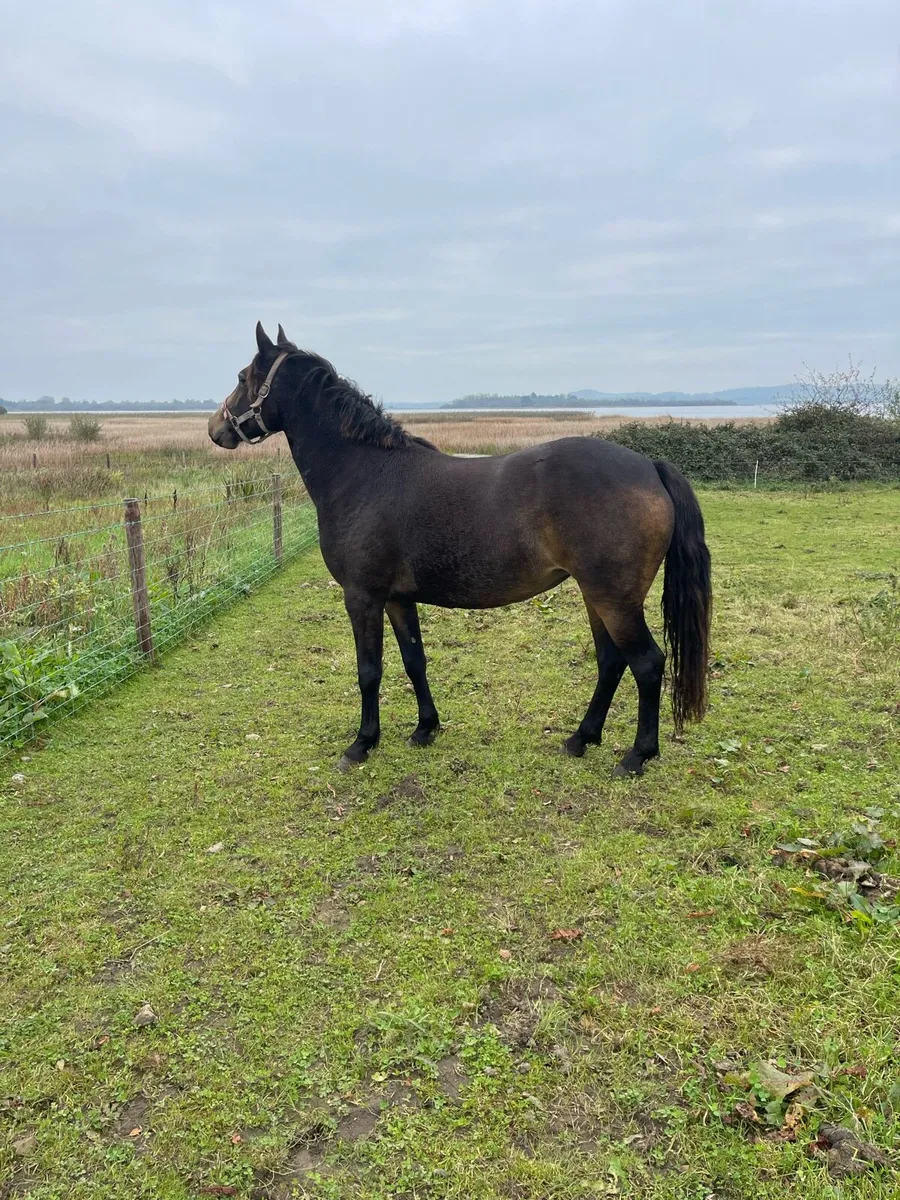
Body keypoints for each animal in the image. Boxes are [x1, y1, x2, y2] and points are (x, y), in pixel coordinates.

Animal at [209, 323, 712, 776]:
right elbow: (414, 661)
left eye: (242, 377)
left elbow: (369, 671)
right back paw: (580, 738)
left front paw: (362, 744)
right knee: (611, 663)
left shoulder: (362, 597)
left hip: (615, 600)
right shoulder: (397, 598)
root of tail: (648, 466)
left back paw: (637, 755)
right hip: (598, 597)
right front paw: (425, 729)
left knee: (647, 665)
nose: (216, 428)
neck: (363, 473)